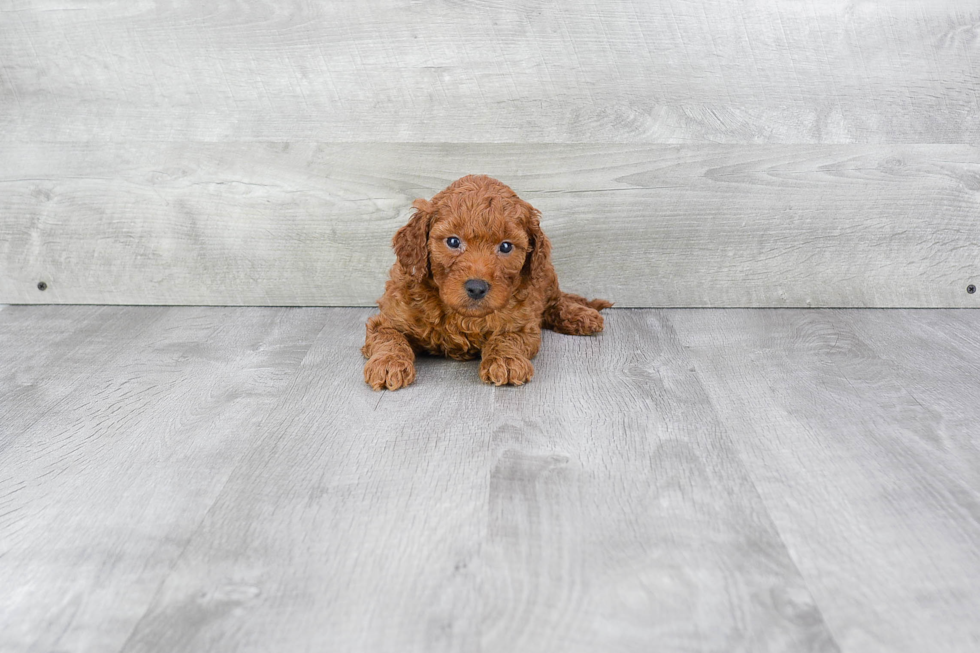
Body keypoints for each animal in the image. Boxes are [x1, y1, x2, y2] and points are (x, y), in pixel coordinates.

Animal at [364, 174, 612, 388]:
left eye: (506, 246)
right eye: (453, 242)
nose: (476, 288)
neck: (461, 316)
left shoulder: (523, 324)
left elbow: (507, 337)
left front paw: (506, 360)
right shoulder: (388, 318)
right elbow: (389, 337)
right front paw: (388, 363)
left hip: (545, 276)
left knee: (555, 302)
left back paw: (582, 316)